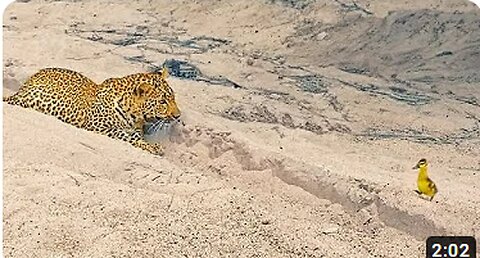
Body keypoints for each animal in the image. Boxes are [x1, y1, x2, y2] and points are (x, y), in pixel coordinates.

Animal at [3, 67, 180, 155]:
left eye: (173, 98)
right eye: (162, 102)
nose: (178, 116)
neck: (134, 115)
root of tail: (22, 87)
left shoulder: (136, 130)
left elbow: (135, 138)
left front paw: (150, 145)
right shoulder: (97, 127)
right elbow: (123, 135)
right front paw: (154, 147)